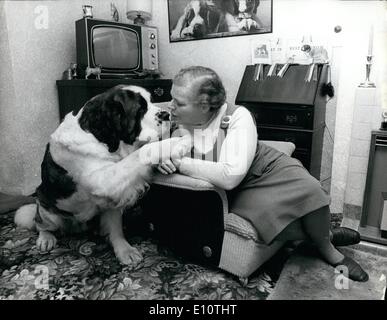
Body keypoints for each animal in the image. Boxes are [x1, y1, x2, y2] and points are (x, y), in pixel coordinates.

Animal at [14, 84, 191, 264]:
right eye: (140, 109)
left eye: (151, 101)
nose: (166, 114)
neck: (100, 137)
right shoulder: (103, 180)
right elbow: (141, 152)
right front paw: (178, 141)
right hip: (47, 210)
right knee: (40, 224)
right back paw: (46, 238)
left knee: (113, 227)